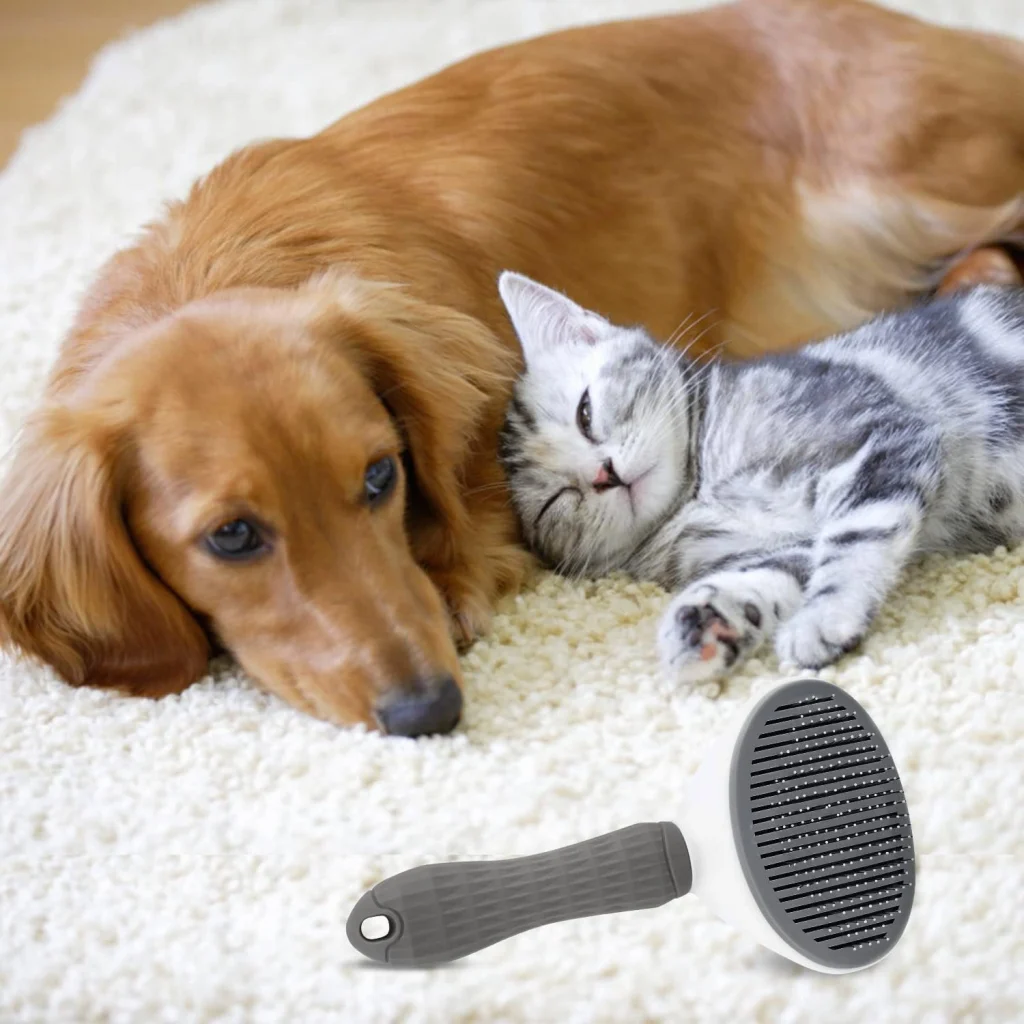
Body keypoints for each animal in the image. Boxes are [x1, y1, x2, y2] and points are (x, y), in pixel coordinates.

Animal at [499, 272, 1024, 684]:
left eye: (585, 413)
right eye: (557, 500)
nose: (603, 474)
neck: (698, 489)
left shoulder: (880, 438)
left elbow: (854, 538)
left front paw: (825, 616)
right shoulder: (776, 546)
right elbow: (768, 574)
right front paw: (707, 618)